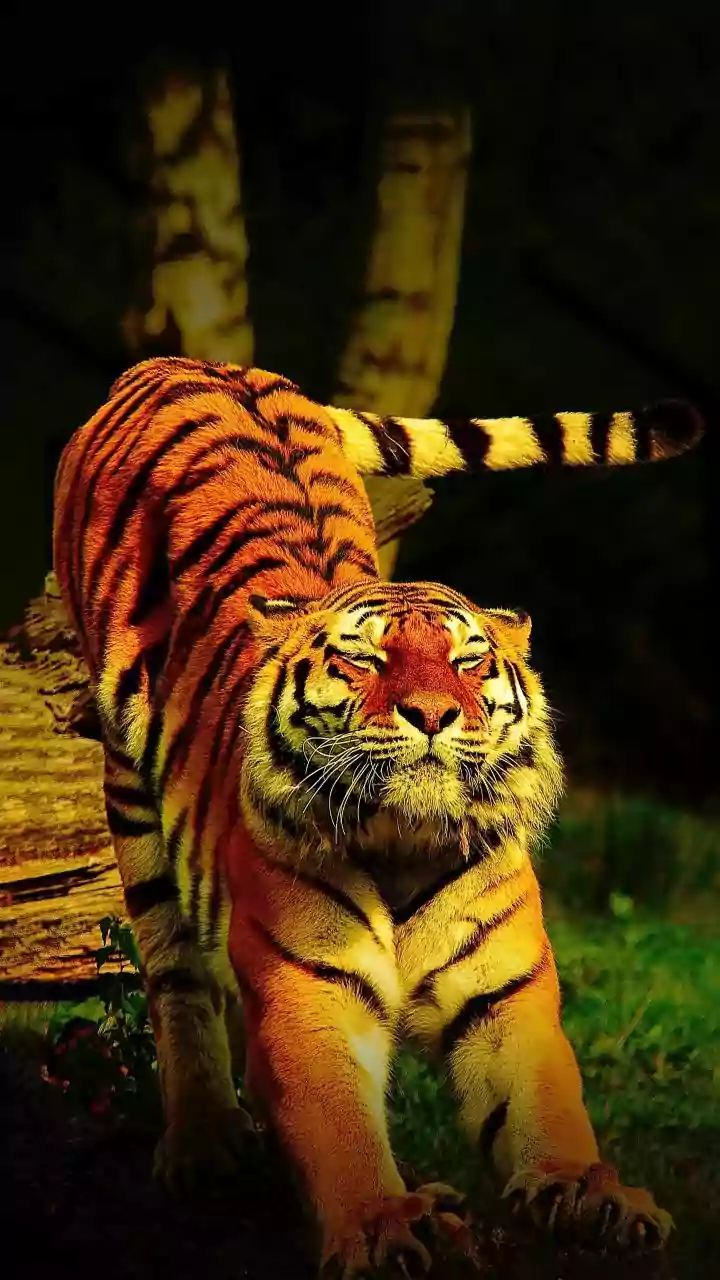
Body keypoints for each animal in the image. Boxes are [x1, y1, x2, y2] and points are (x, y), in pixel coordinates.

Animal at [53, 356, 702, 1277]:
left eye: (470, 661)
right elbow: (339, 1128)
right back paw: (203, 1140)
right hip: (130, 794)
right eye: (366, 659)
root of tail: (187, 363)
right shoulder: (308, 994)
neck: (406, 842)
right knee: (174, 974)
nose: (433, 712)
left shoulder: (506, 993)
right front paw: (384, 1223)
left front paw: (592, 1194)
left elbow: (548, 1105)